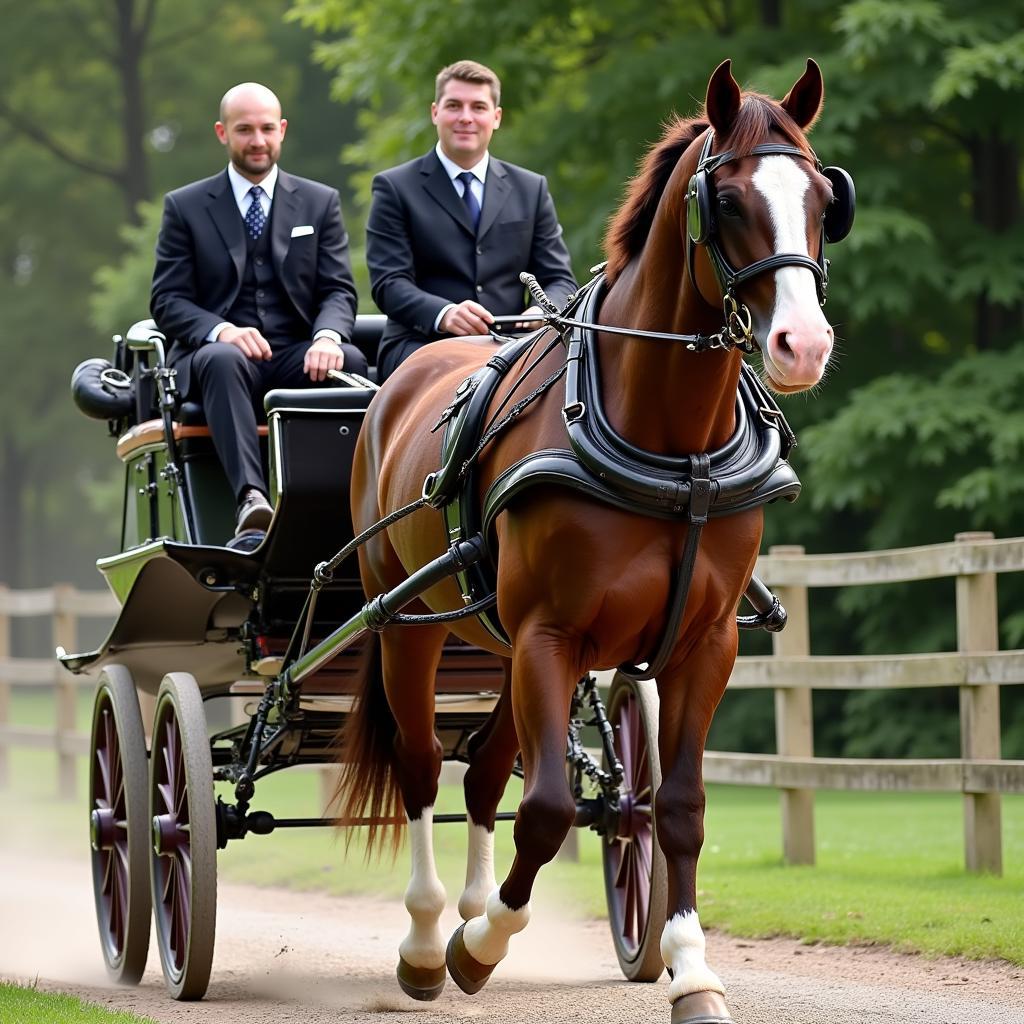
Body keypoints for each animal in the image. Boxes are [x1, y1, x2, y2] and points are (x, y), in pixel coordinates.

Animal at [342, 58, 839, 1024]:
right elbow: (544, 809)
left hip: (495, 644)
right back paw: (427, 938)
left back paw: (469, 909)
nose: (803, 344)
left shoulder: (702, 645)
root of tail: (402, 378)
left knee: (482, 776)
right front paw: (478, 945)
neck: (673, 446)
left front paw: (691, 970)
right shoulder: (552, 635)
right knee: (423, 768)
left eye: (824, 198)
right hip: (407, 626)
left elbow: (674, 806)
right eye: (726, 199)